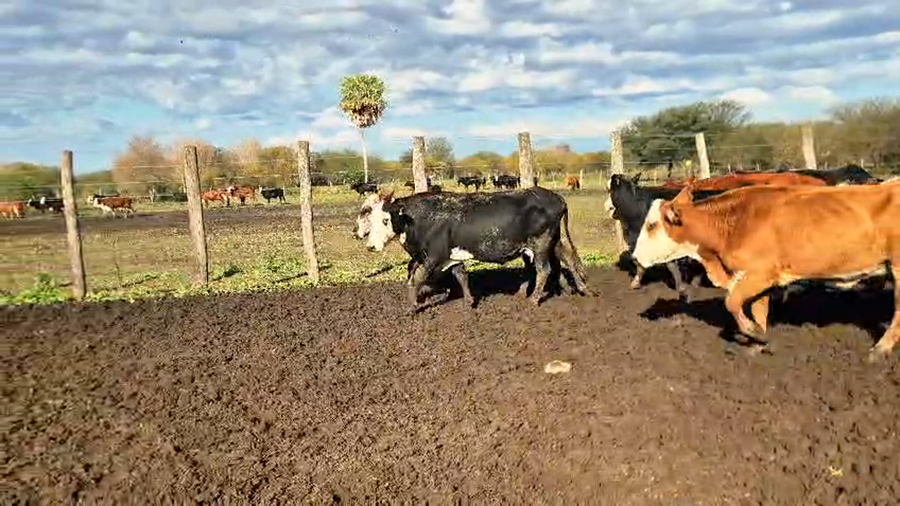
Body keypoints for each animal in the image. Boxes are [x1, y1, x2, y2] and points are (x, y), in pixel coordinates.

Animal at [363, 187, 590, 312]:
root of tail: (557, 198)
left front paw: (412, 306)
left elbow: (416, 279)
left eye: (385, 220)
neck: (421, 218)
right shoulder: (452, 255)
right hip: (552, 241)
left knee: (544, 270)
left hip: (541, 244)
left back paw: (534, 298)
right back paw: (580, 288)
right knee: (567, 258)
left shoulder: (434, 256)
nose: (370, 246)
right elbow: (461, 275)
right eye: (369, 219)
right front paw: (469, 301)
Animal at [631, 183, 900, 361]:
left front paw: (755, 334)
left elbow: (731, 302)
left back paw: (880, 349)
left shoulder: (759, 275)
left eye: (652, 225)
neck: (736, 222)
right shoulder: (756, 280)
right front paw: (758, 342)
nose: (634, 256)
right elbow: (759, 310)